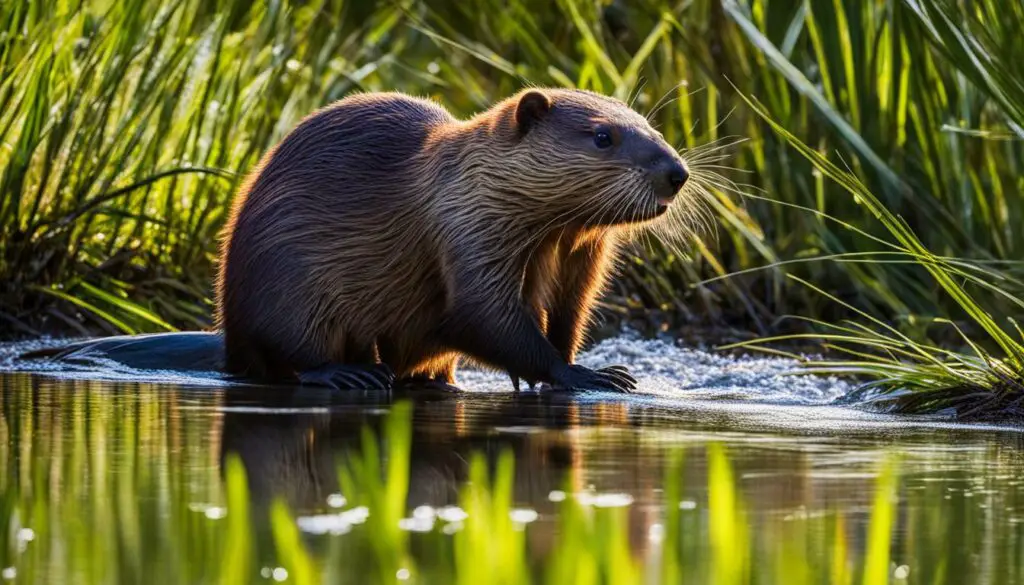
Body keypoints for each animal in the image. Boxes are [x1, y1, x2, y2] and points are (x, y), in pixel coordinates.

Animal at [24, 88, 692, 393]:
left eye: (654, 127)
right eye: (603, 136)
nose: (676, 172)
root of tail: (226, 339)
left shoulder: (578, 254)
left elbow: (568, 317)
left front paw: (605, 365)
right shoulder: (468, 229)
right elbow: (487, 318)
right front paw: (591, 377)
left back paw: (426, 380)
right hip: (287, 299)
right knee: (287, 359)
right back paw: (354, 375)